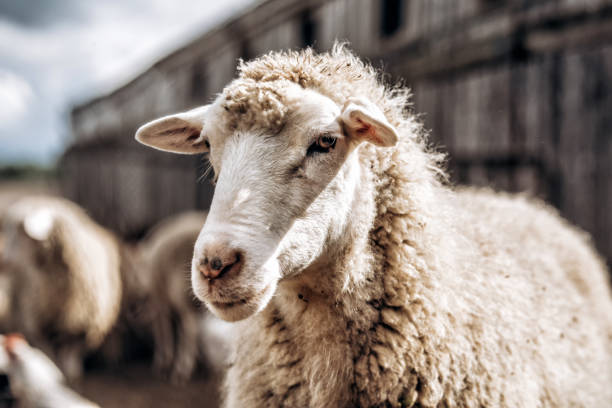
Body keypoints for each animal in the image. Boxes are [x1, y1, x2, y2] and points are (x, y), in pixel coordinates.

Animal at [0, 196, 123, 380]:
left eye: (20, 232)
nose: (2, 262)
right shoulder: (38, 324)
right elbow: (48, 353)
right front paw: (54, 371)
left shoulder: (83, 326)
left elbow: (71, 356)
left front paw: (71, 374)